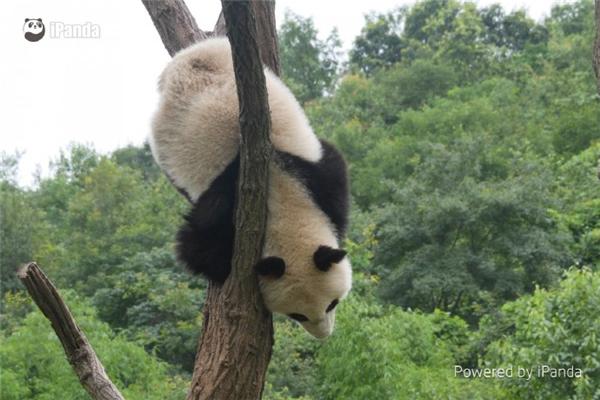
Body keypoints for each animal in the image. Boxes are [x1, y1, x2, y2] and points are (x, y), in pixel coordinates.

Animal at [149, 38, 352, 338]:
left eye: (332, 303)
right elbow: (197, 248)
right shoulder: (223, 209)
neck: (282, 195)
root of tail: (184, 58)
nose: (323, 335)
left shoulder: (314, 172)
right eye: (298, 315)